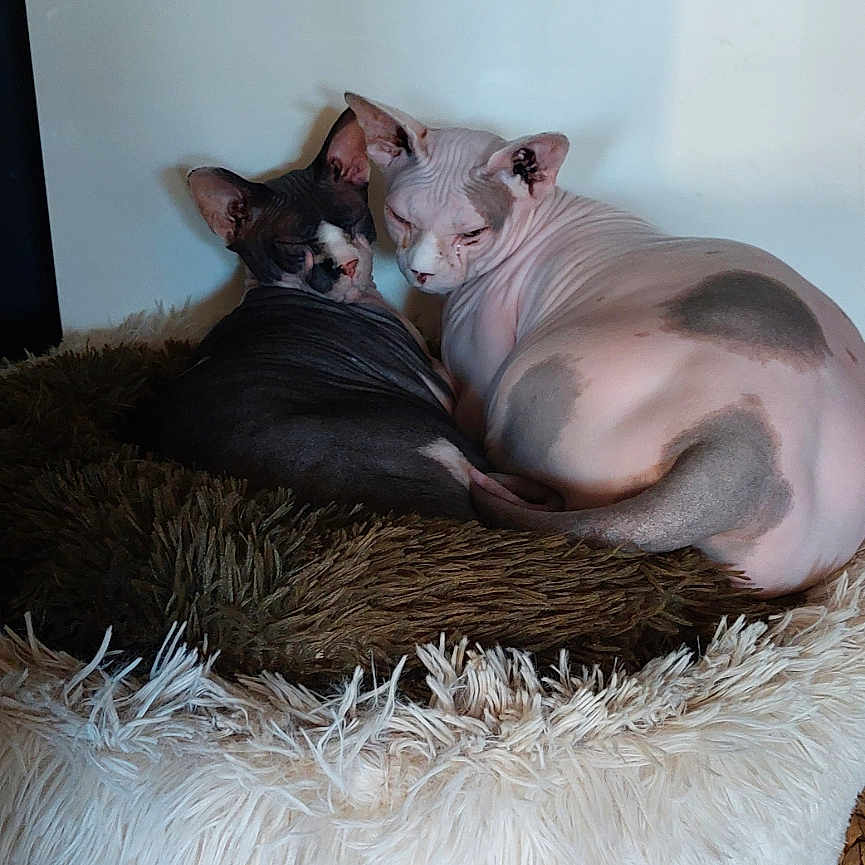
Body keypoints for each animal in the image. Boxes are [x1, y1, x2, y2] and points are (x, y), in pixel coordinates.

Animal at [346, 92, 865, 595]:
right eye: (398, 217)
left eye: (472, 234)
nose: (420, 272)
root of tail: (739, 447)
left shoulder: (476, 373)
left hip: (527, 381)